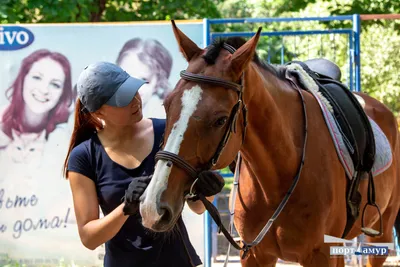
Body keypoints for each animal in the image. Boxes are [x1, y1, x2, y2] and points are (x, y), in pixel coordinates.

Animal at [138, 21, 400, 267]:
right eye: (167, 105)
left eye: (220, 119)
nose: (153, 207)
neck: (277, 176)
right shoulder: (254, 255)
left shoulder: (321, 255)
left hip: (381, 234)